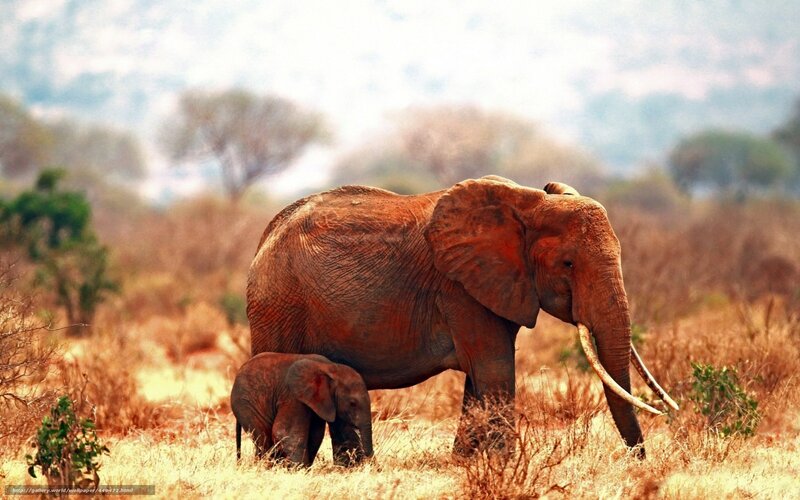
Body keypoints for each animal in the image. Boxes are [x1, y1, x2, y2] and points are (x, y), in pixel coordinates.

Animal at [231, 352, 373, 466]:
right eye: (352, 403)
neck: (331, 368)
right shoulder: (293, 396)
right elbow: (285, 433)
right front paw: (299, 471)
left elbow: (316, 435)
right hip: (246, 404)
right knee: (263, 437)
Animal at [246, 175, 677, 458]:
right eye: (568, 264)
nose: (637, 460)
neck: (527, 203)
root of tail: (266, 236)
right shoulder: (460, 290)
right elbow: (494, 367)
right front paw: (502, 465)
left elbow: (480, 374)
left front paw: (466, 462)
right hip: (278, 305)